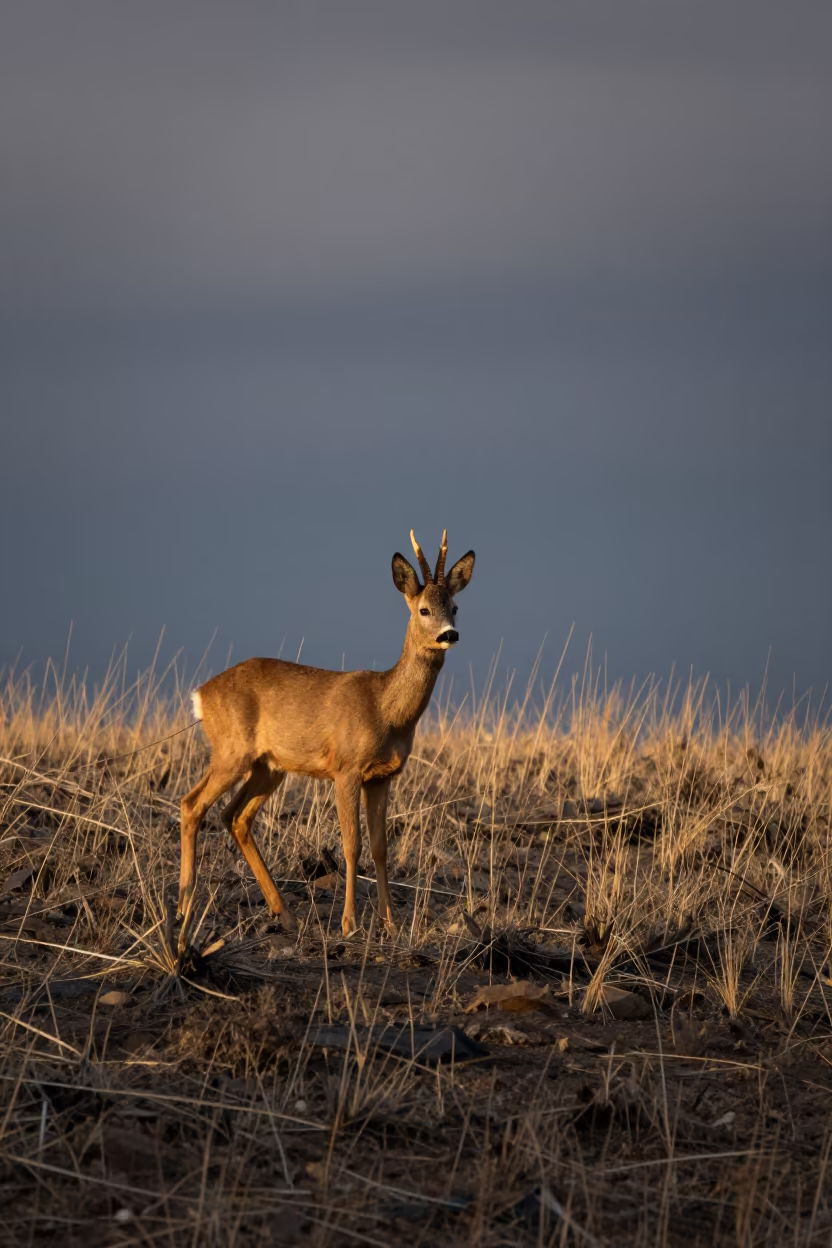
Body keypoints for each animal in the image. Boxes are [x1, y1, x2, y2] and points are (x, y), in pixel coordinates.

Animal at [178, 529, 475, 951]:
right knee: (192, 804)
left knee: (236, 815)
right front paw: (350, 924)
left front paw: (390, 925)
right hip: (232, 751)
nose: (449, 634)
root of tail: (201, 695)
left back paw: (285, 915)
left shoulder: (382, 776)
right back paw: (184, 908)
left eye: (455, 606)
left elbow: (381, 848)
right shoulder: (346, 768)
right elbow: (352, 845)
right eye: (423, 610)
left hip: (268, 766)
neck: (386, 709)